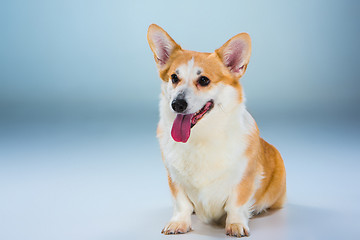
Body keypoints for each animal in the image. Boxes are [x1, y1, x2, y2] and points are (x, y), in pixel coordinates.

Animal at [146, 23, 286, 237]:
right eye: (174, 77)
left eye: (204, 80)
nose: (177, 104)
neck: (200, 136)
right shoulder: (174, 178)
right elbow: (181, 204)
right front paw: (178, 223)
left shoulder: (243, 178)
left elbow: (236, 205)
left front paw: (236, 225)